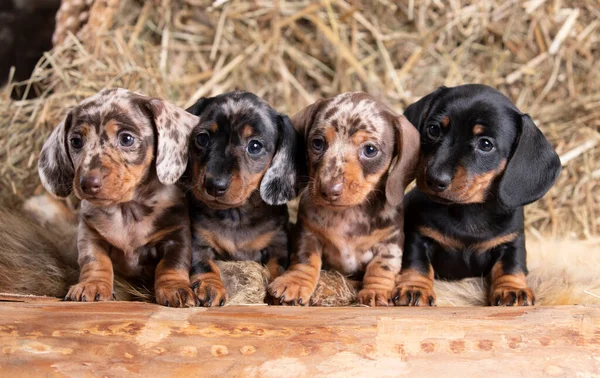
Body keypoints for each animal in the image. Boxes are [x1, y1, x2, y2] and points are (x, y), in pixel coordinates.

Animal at [38, 88, 202, 308]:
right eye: (75, 141)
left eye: (126, 139)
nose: (87, 183)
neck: (127, 210)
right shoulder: (90, 235)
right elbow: (95, 260)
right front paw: (93, 285)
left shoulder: (176, 236)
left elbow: (172, 264)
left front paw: (175, 288)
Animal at [180, 91, 298, 308]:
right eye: (202, 138)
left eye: (255, 146)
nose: (214, 185)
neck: (236, 216)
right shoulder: (198, 240)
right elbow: (203, 263)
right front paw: (210, 286)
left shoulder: (278, 243)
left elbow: (277, 266)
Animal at [270, 92, 420, 308]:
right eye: (317, 143)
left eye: (370, 150)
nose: (329, 190)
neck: (348, 214)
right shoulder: (308, 233)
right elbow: (305, 259)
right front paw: (295, 282)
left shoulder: (390, 241)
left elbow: (381, 267)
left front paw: (376, 290)